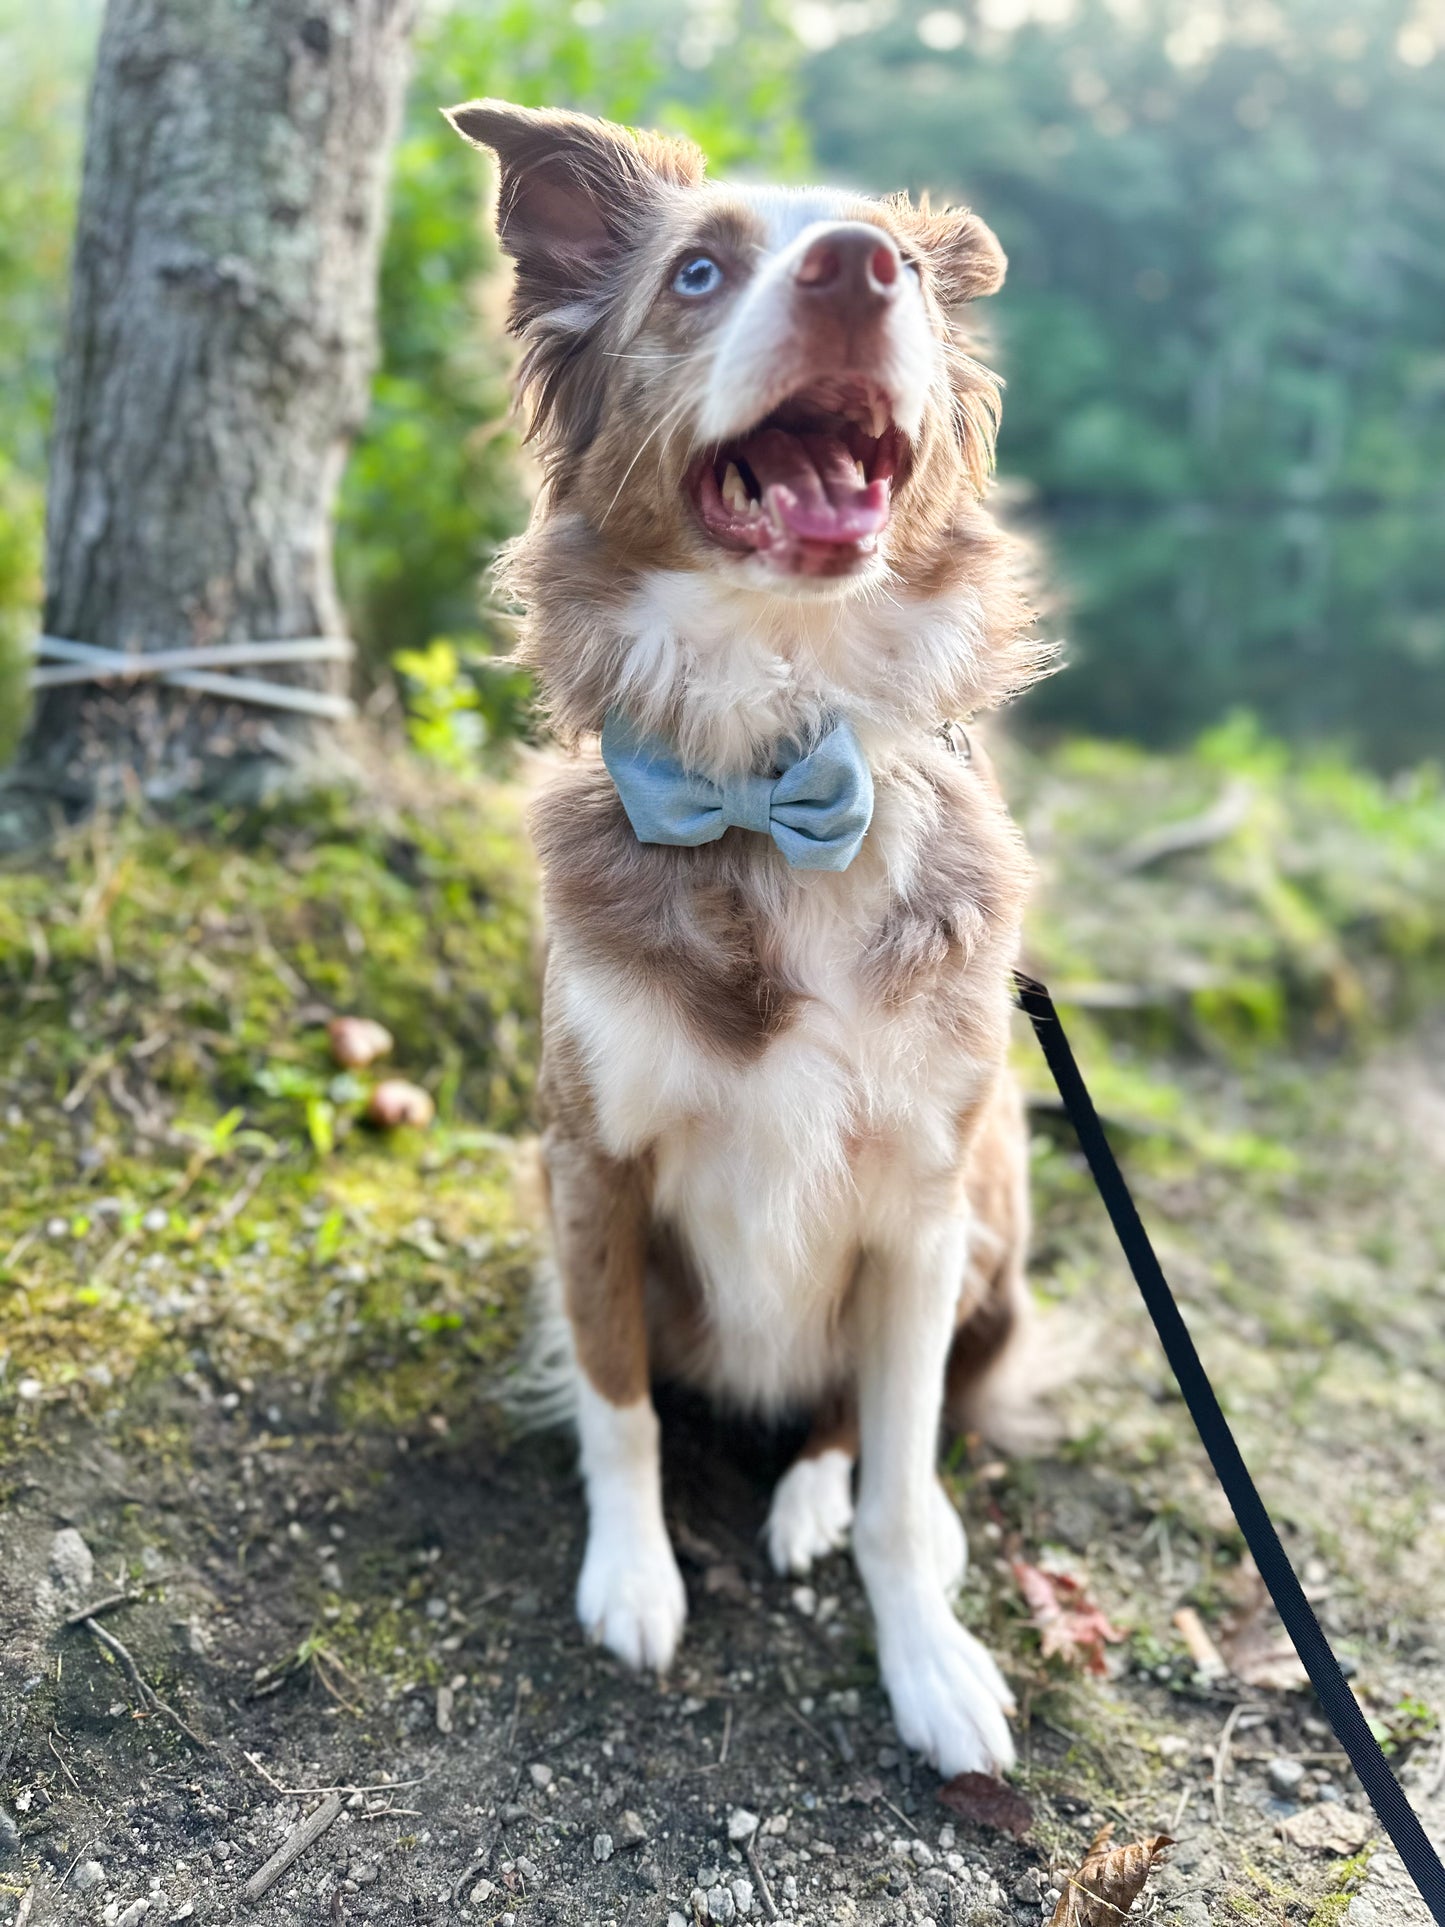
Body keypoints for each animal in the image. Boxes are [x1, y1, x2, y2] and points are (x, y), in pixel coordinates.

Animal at [445, 97, 1055, 1765]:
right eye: (699, 272)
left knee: (872, 1434)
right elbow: (621, 1401)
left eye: (898, 254)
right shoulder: (590, 1161)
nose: (858, 270)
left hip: (997, 1227)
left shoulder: (921, 1205)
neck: (770, 763)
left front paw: (930, 1661)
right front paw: (633, 1576)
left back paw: (818, 1501)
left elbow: (902, 1473)